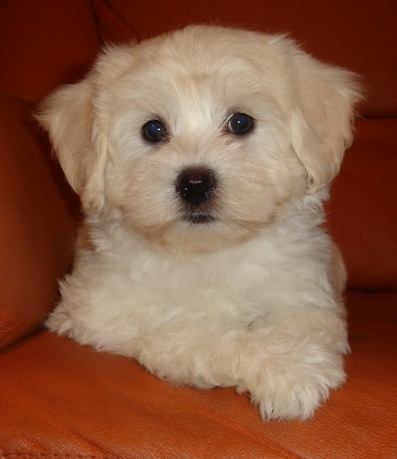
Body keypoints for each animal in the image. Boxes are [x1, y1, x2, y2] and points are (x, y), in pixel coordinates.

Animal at [38, 25, 360, 420]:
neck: (208, 251)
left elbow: (300, 320)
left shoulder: (304, 289)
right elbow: (184, 327)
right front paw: (248, 356)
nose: (194, 183)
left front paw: (290, 367)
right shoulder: (96, 308)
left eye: (241, 122)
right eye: (153, 130)